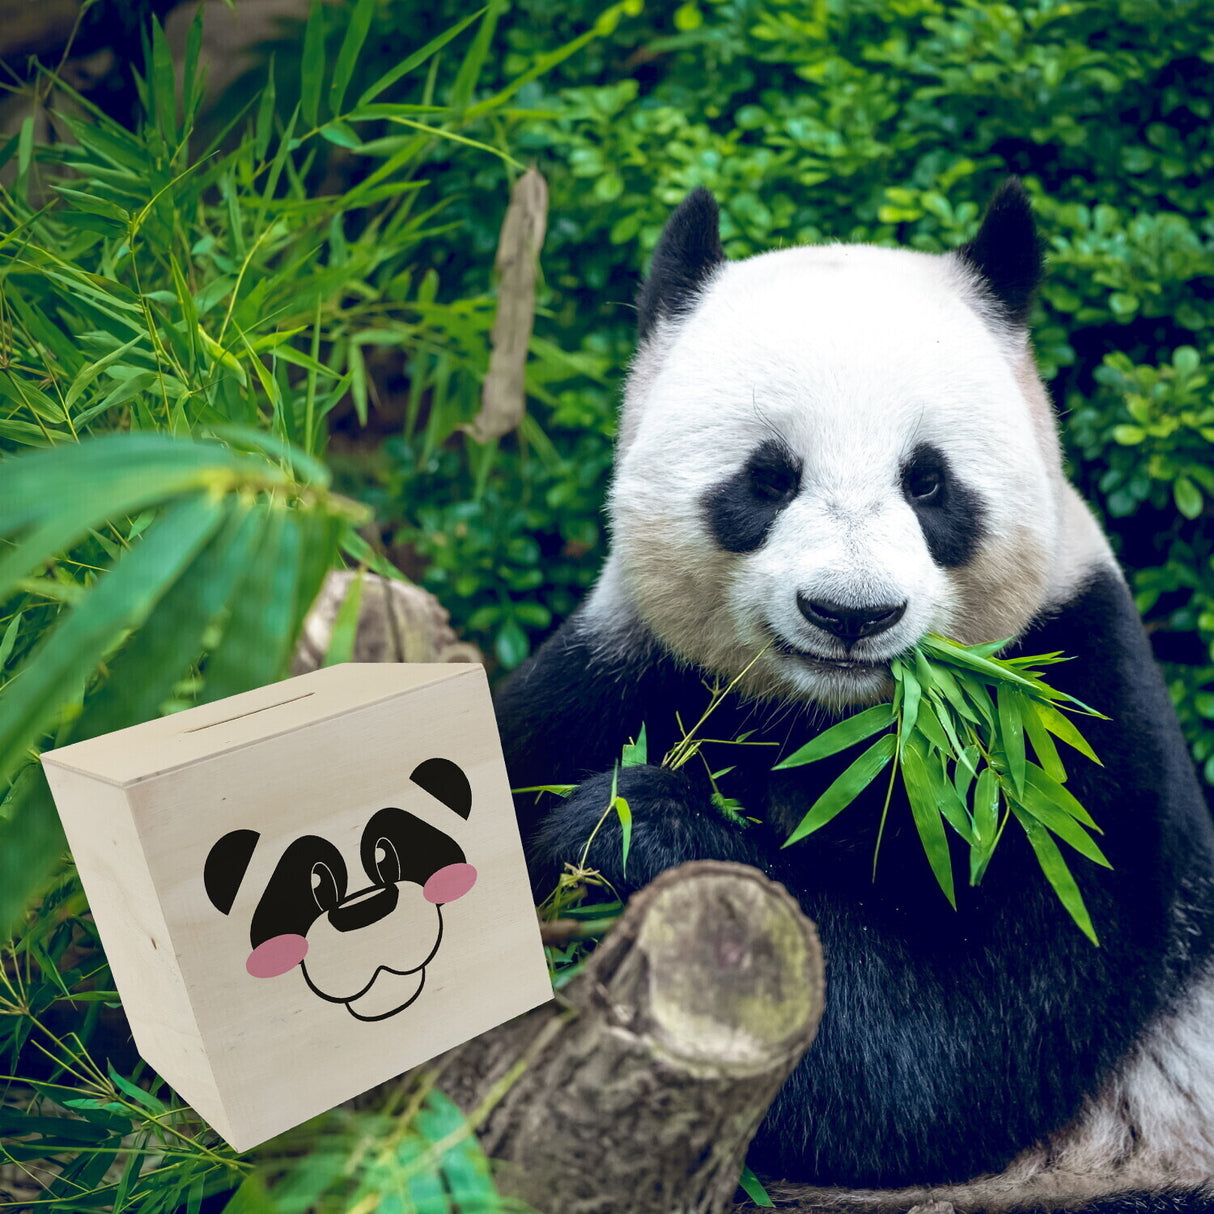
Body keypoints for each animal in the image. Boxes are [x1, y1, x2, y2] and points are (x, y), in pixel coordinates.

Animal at [494, 179, 1214, 1211]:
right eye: (768, 476)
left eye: (929, 481)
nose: (851, 612)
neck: (835, 719)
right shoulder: (618, 672)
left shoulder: (1066, 742)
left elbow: (946, 1051)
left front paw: (628, 826)